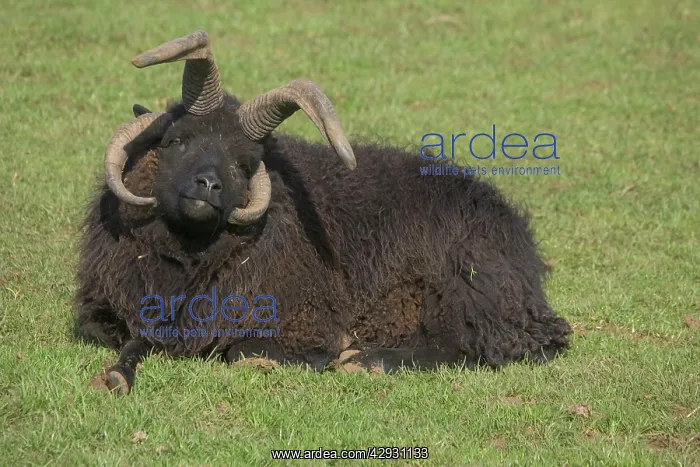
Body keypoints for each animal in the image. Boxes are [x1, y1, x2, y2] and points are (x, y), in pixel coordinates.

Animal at [75, 31, 572, 395]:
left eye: (245, 164)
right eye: (176, 139)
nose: (210, 186)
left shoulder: (304, 317)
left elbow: (245, 353)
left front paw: (320, 356)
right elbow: (116, 336)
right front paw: (115, 376)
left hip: (462, 286)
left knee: (485, 344)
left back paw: (367, 360)